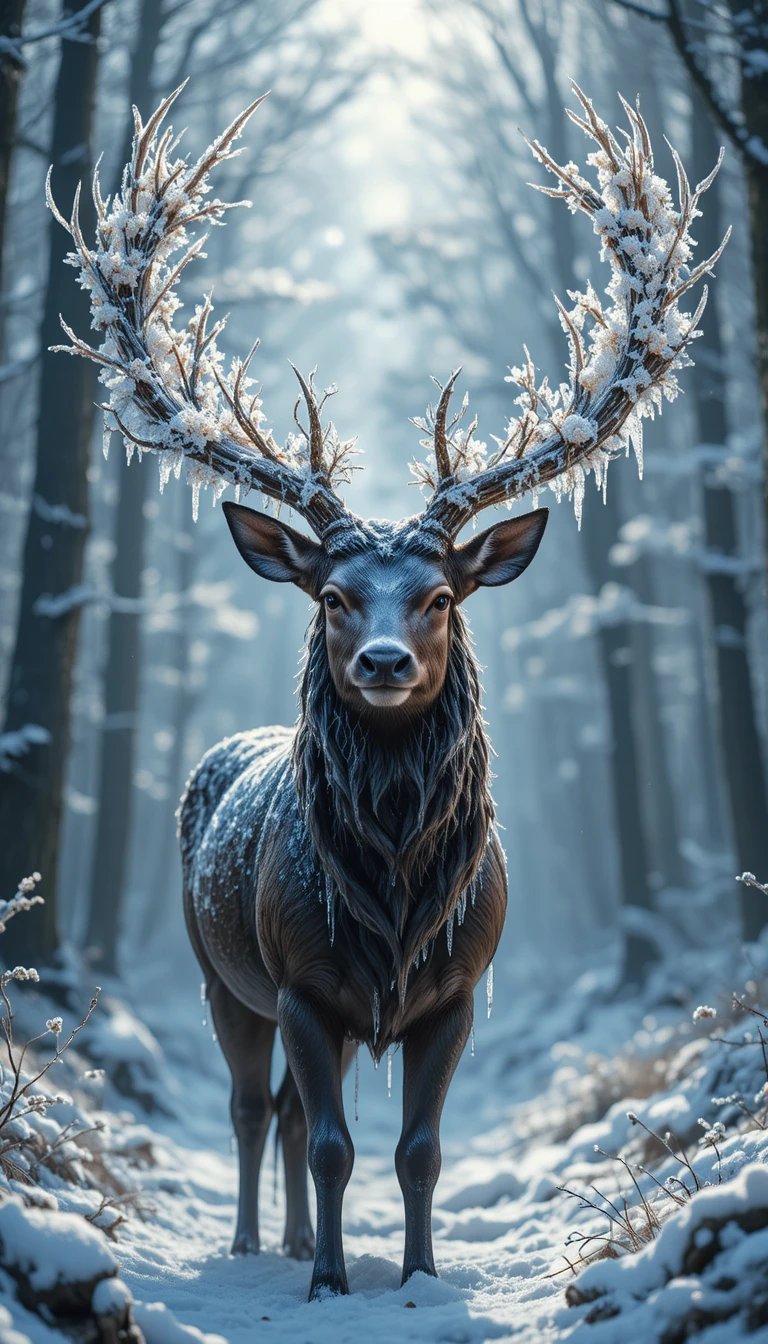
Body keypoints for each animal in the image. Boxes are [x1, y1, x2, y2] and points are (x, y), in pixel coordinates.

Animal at [49, 83, 726, 1300]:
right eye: (332, 595)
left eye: (440, 596)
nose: (381, 664)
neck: (396, 897)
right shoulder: (302, 984)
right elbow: (330, 1142)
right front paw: (327, 1279)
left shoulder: (457, 991)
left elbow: (419, 1149)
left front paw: (412, 1274)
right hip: (221, 975)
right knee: (251, 1109)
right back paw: (253, 1244)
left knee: (275, 1112)